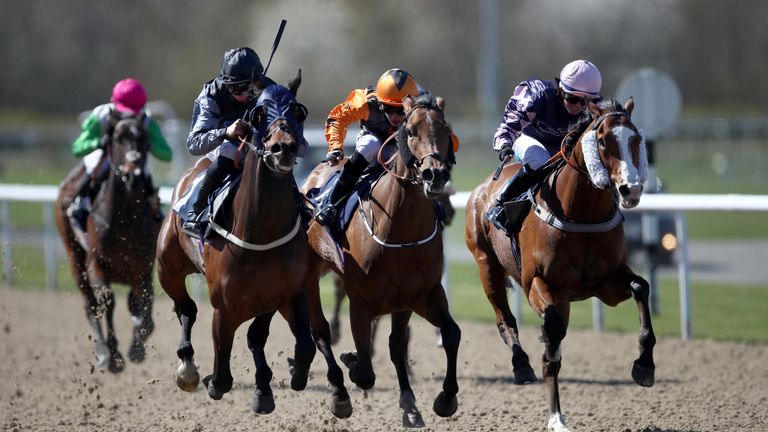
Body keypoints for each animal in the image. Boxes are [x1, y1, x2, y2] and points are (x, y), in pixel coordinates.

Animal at [55, 113, 158, 372]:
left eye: (145, 139)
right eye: (118, 138)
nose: (133, 175)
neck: (125, 221)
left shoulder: (143, 268)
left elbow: (144, 307)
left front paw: (137, 348)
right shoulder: (95, 263)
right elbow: (107, 301)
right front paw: (114, 356)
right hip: (73, 255)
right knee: (90, 303)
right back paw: (102, 352)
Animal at [155, 74, 352, 418]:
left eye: (298, 111)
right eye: (258, 114)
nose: (282, 148)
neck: (259, 233)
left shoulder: (283, 293)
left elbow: (286, 341)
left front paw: (280, 382)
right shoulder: (224, 306)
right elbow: (222, 372)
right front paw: (217, 380)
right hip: (168, 268)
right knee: (187, 308)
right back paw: (188, 370)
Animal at [302, 93, 460, 426]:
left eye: (446, 131)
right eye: (410, 132)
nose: (435, 175)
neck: (399, 231)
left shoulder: (418, 296)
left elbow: (444, 335)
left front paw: (438, 399)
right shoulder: (361, 301)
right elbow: (364, 372)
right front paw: (351, 362)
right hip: (309, 273)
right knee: (320, 331)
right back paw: (338, 392)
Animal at [464, 98, 656, 432]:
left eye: (636, 140)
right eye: (602, 140)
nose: (630, 190)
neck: (581, 214)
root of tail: (481, 189)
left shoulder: (606, 284)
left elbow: (640, 287)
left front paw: (644, 365)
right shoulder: (536, 283)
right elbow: (551, 342)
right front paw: (556, 417)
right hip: (486, 265)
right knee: (505, 320)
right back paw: (522, 366)